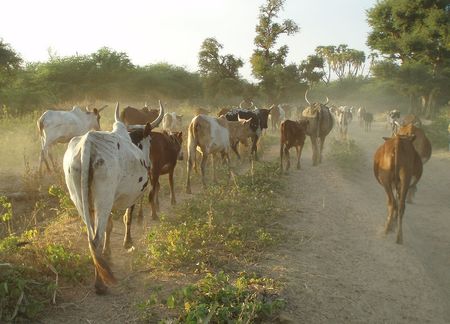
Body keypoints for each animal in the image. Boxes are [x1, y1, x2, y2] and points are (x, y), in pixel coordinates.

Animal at [62, 101, 163, 294]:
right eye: (150, 140)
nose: (149, 161)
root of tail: (88, 144)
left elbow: (109, 226)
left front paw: (108, 253)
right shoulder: (131, 194)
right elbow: (127, 217)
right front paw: (127, 242)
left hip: (82, 199)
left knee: (92, 236)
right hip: (103, 198)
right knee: (96, 239)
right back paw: (100, 284)